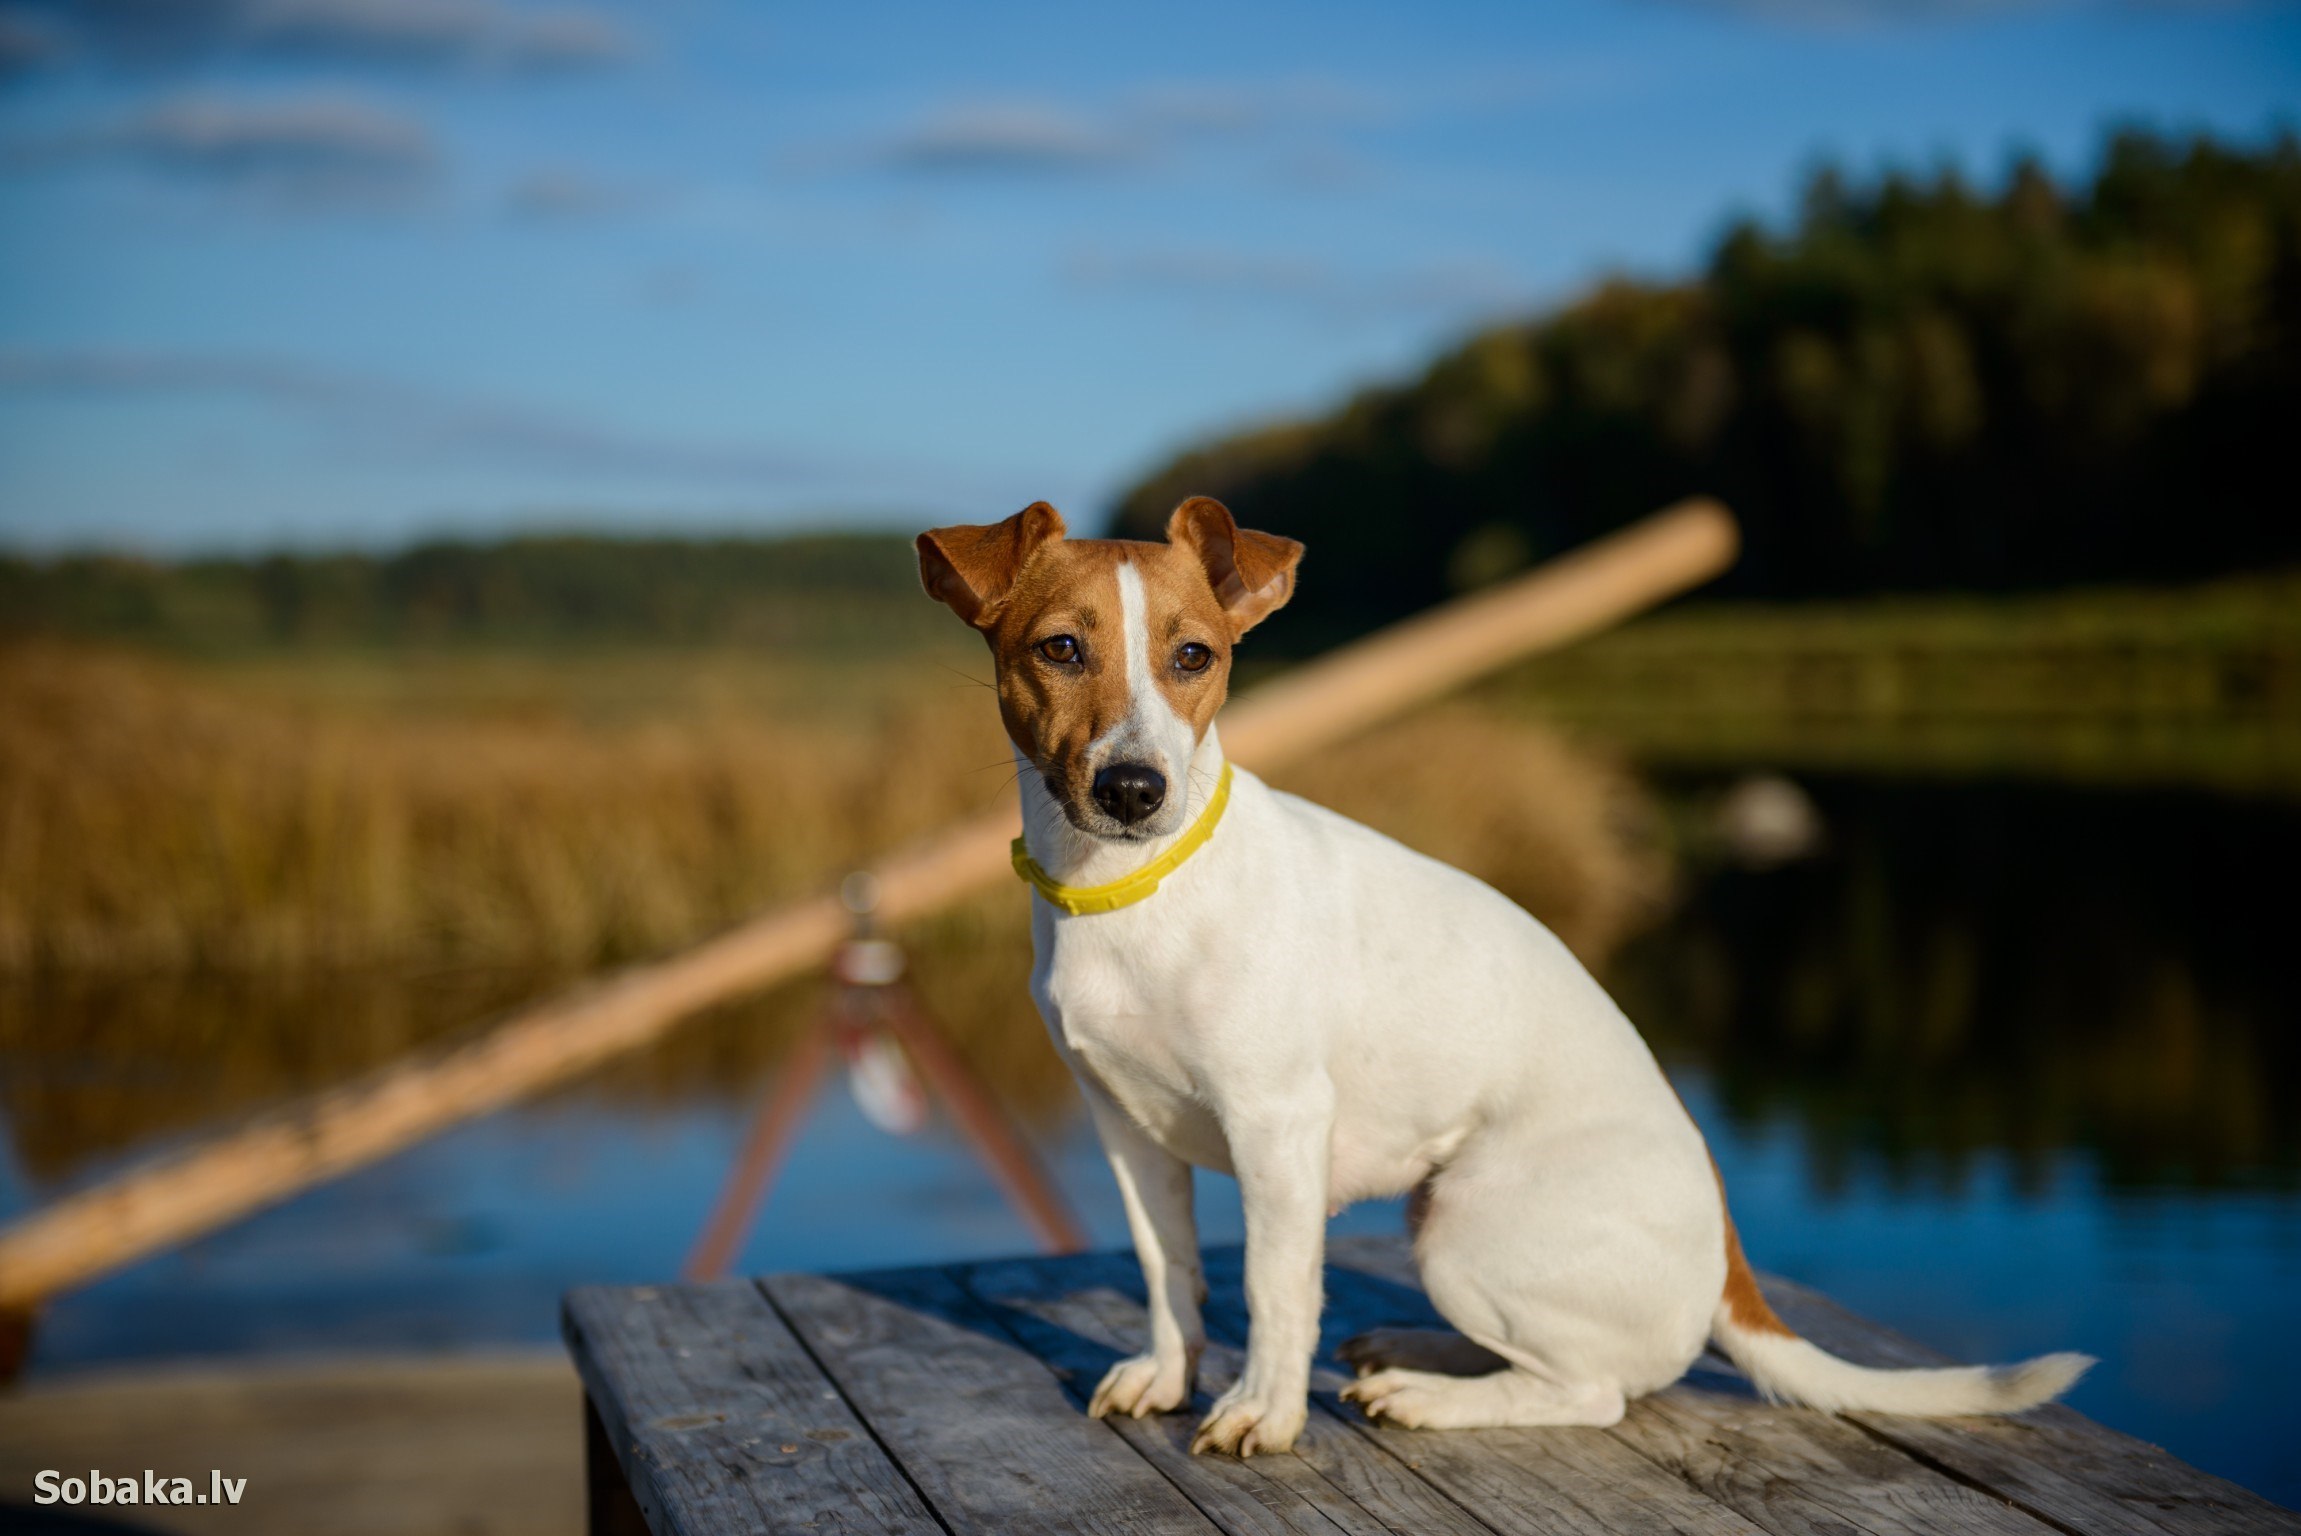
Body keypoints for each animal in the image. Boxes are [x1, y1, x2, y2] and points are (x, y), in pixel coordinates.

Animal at [911, 498, 2089, 1462]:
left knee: (1589, 1391)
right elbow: (1171, 1276)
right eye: (1061, 649)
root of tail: (1725, 1255)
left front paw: (1264, 1413)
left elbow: (1276, 1290)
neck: (1132, 893)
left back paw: (1430, 1397)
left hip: (1466, 1228)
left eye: (1194, 656)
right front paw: (1167, 1377)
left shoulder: (1277, 1129)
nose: (1133, 788)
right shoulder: (1128, 1128)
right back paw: (1411, 1349)